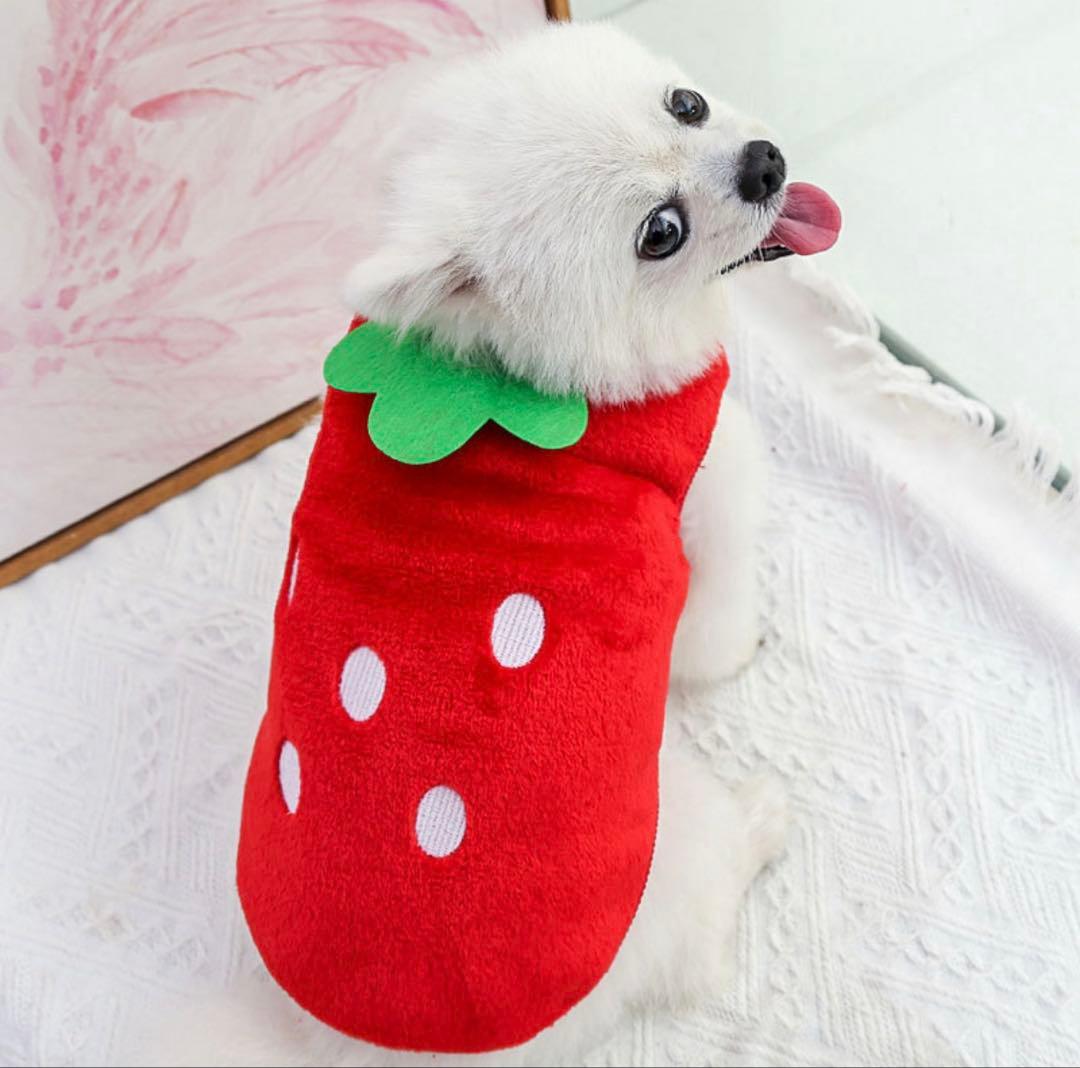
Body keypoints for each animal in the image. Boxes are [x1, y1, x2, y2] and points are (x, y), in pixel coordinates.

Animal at [138, 20, 840, 1066]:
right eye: (659, 233)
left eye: (684, 104)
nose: (764, 164)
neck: (500, 371)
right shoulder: (710, 495)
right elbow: (715, 635)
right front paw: (748, 642)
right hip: (671, 841)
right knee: (710, 908)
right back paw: (760, 821)